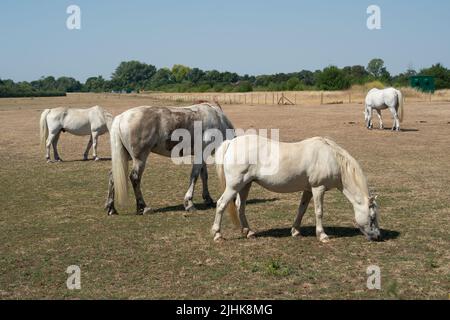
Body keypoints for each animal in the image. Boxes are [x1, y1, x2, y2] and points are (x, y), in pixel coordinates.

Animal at [213, 135, 382, 242]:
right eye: (372, 217)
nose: (378, 236)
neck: (331, 157)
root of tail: (231, 143)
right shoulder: (318, 188)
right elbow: (319, 212)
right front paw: (322, 235)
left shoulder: (308, 190)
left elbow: (302, 209)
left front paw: (295, 231)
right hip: (234, 186)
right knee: (221, 204)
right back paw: (217, 235)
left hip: (245, 185)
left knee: (240, 207)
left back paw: (249, 232)